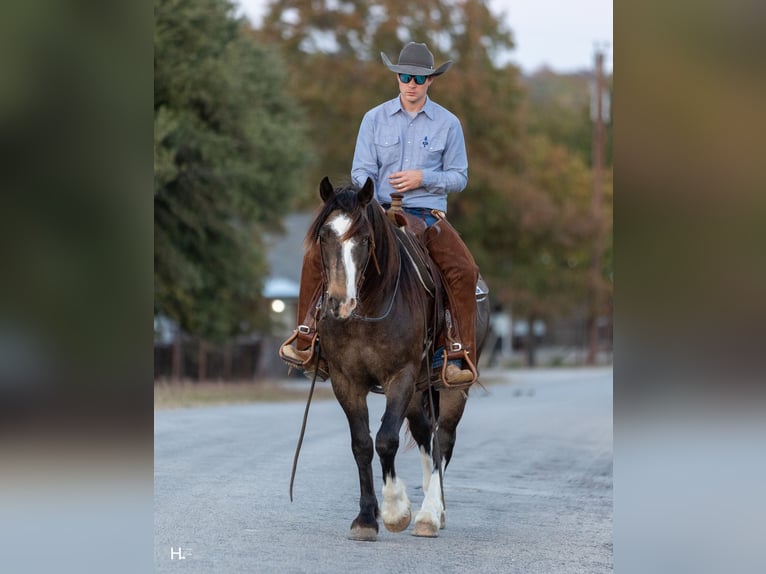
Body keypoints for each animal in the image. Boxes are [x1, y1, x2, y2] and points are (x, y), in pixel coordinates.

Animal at [308, 176, 489, 540]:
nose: (339, 303)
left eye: (365, 239)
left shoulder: (400, 376)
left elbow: (386, 439)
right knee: (424, 435)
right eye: (324, 236)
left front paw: (395, 511)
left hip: (451, 388)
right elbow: (362, 444)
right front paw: (366, 518)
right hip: (418, 393)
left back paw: (430, 514)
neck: (367, 312)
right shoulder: (345, 381)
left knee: (443, 440)